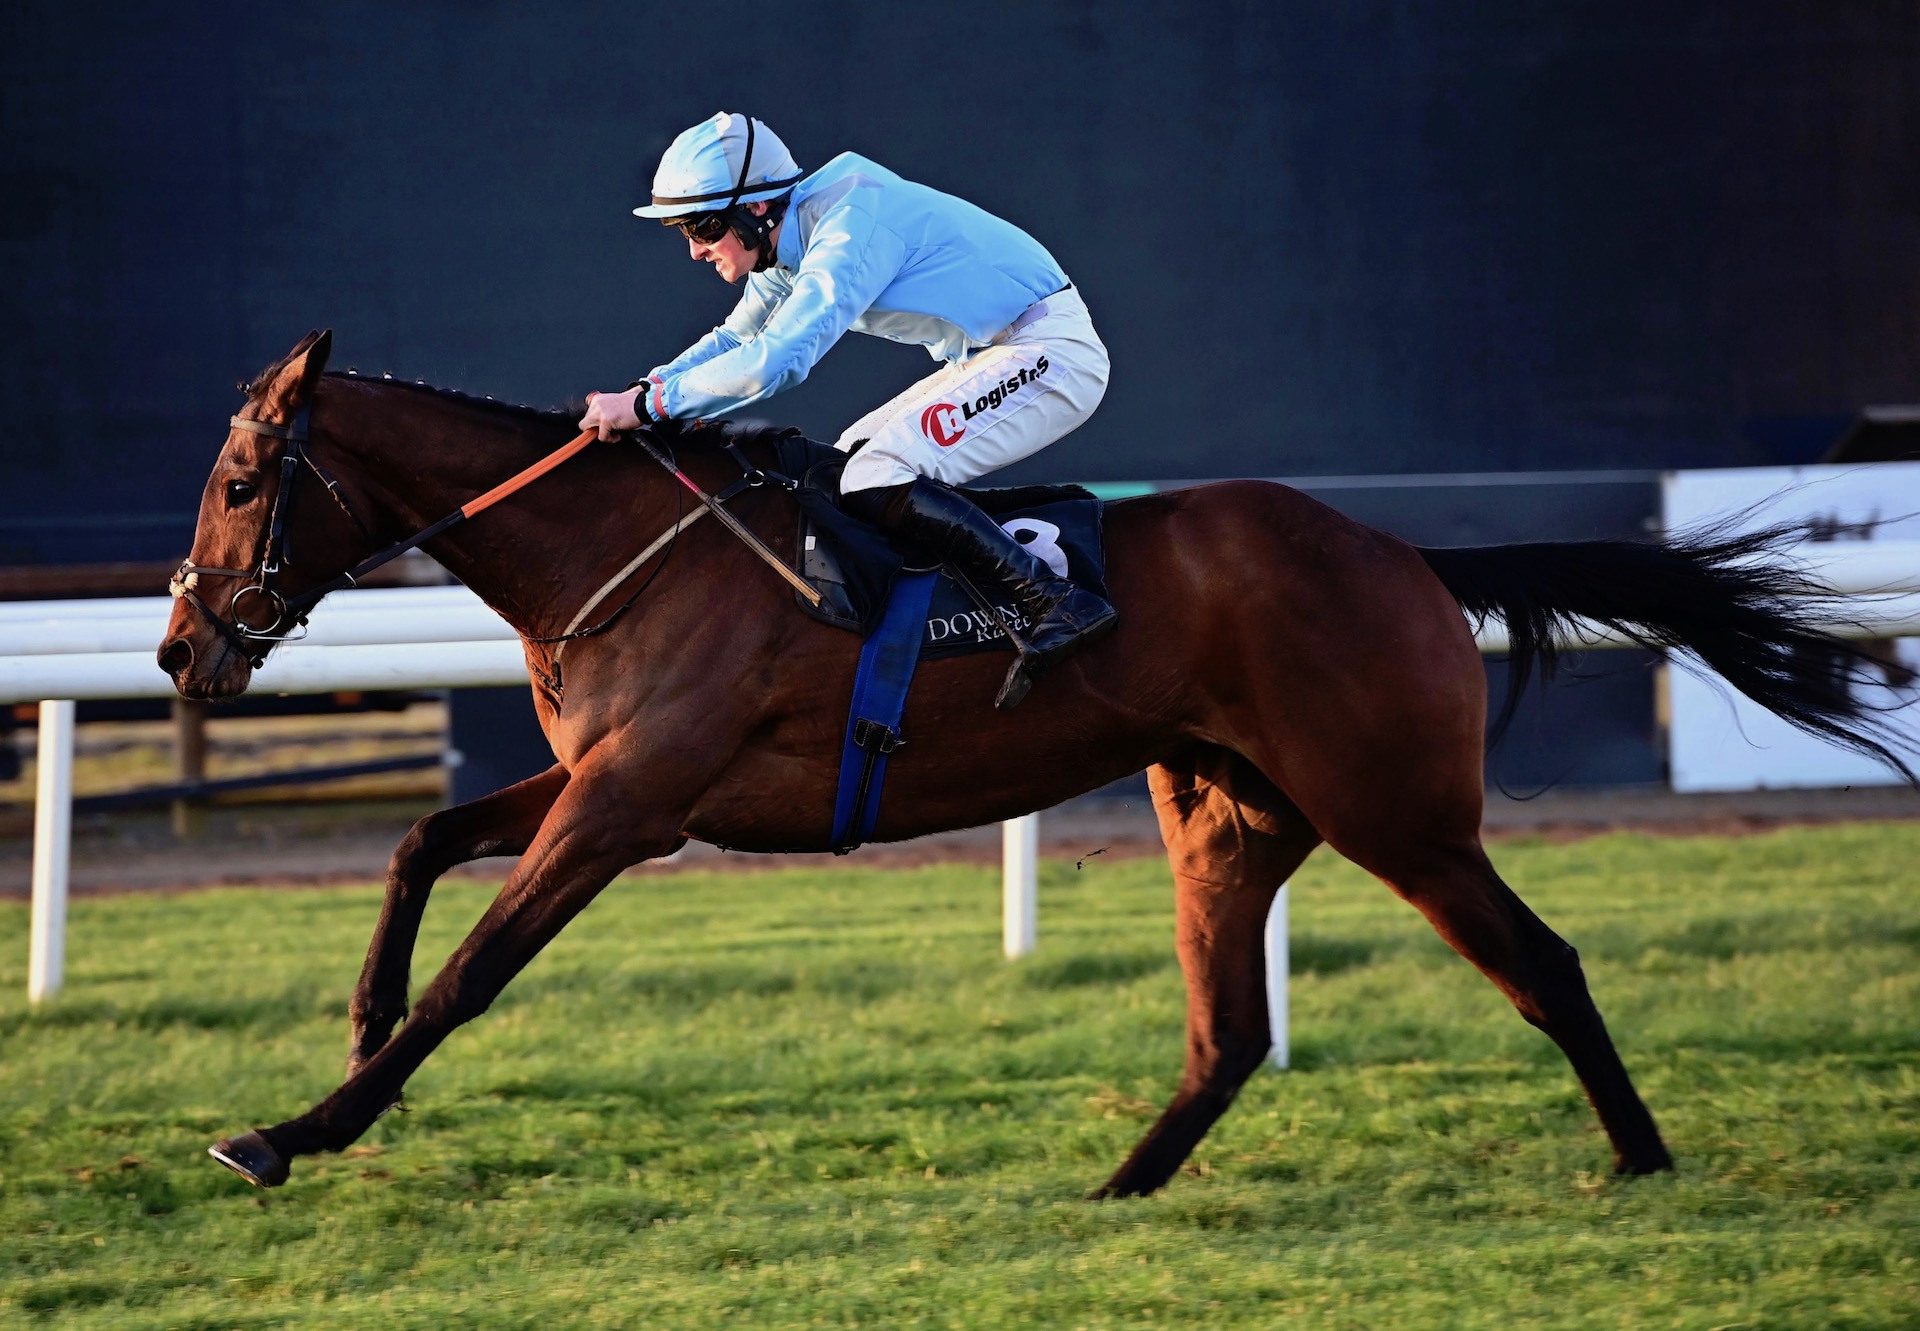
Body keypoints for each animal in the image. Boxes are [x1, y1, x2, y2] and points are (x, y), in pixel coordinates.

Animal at [165, 332, 1904, 1190]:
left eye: (245, 478)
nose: (183, 648)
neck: (624, 550)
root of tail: (1403, 551)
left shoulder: (631, 804)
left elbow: (478, 971)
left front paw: (292, 1129)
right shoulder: (607, 782)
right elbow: (422, 840)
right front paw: (356, 1014)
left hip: (1398, 810)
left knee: (1542, 963)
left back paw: (1643, 1155)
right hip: (1229, 811)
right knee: (1227, 1029)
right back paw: (1118, 1185)